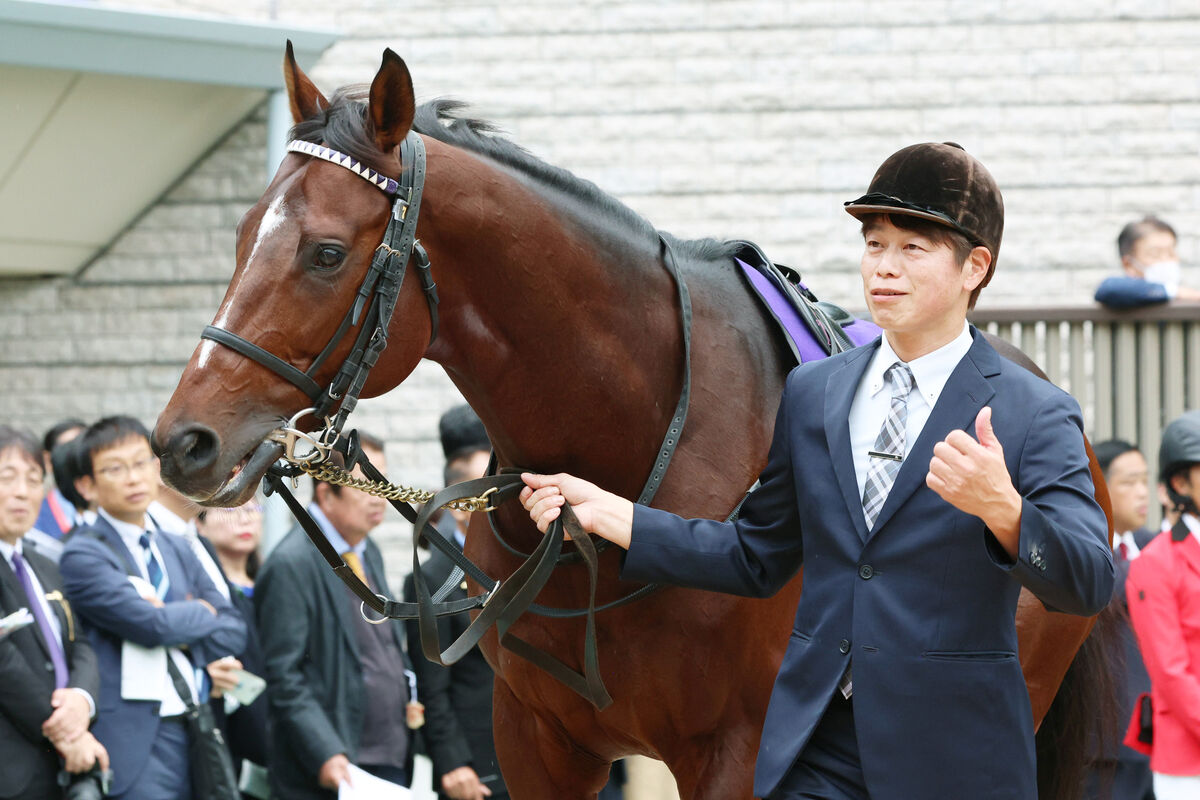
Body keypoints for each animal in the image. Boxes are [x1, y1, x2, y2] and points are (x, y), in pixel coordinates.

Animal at [152, 47, 1113, 796]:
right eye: (241, 235)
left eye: (324, 253)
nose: (183, 441)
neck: (638, 440)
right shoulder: (538, 741)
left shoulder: (739, 751)